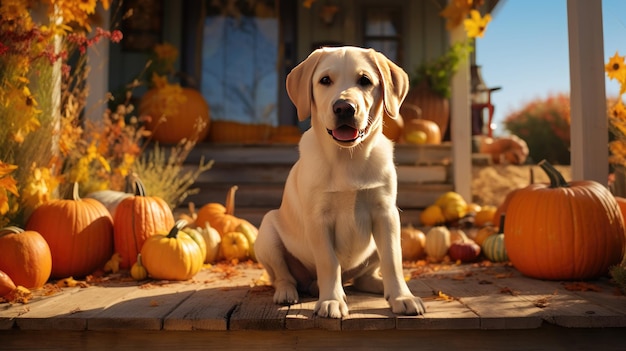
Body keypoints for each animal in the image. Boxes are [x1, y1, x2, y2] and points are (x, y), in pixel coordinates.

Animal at [254, 46, 424, 320]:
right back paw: (288, 292)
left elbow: (392, 260)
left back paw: (380, 286)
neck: (348, 157)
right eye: (325, 80)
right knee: (282, 275)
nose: (344, 108)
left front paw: (402, 297)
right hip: (267, 233)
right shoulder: (318, 218)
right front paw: (331, 301)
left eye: (365, 80)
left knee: (364, 277)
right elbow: (328, 262)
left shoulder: (386, 213)